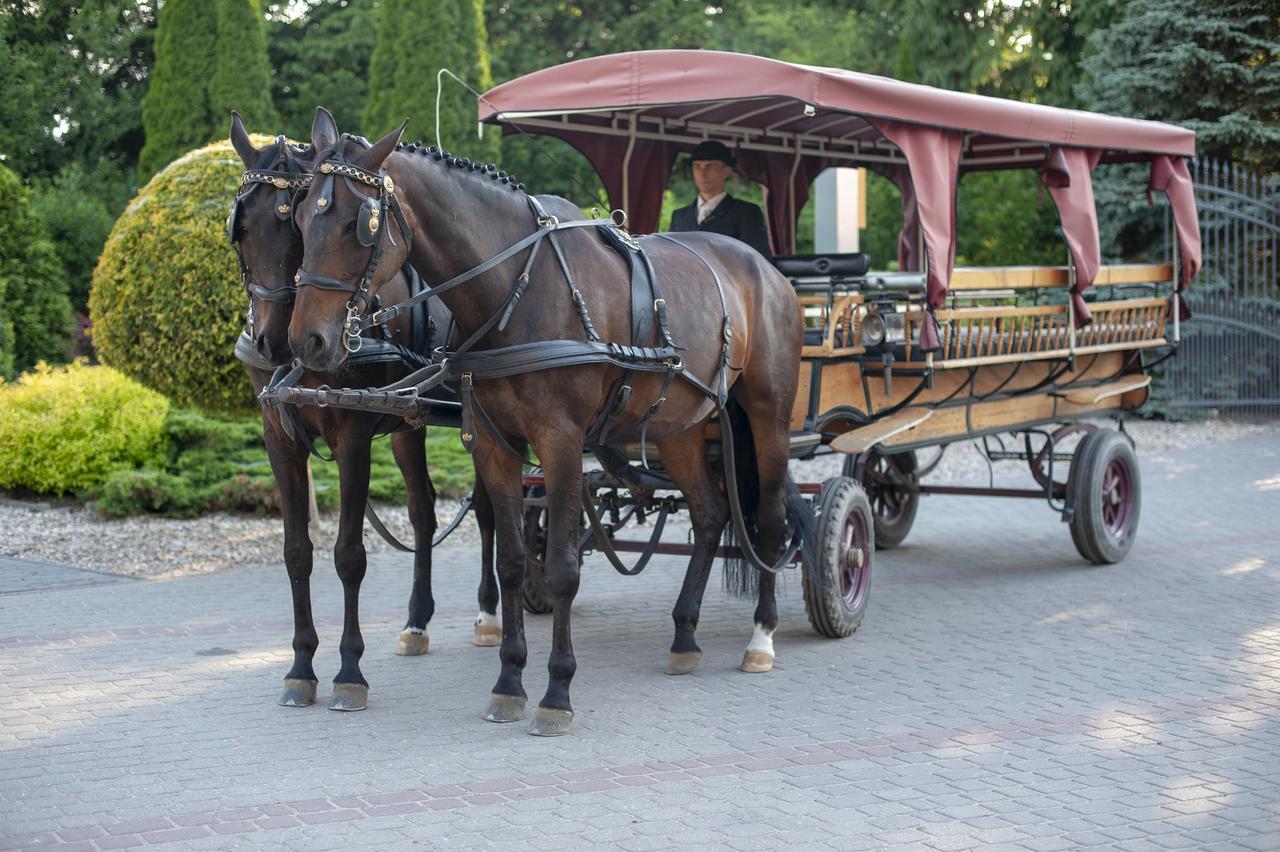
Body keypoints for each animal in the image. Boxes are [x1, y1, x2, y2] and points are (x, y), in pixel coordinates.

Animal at [227, 112, 496, 711]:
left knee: (491, 510)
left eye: (293, 228)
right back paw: (417, 622)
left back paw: (490, 613)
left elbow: (349, 555)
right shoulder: (277, 438)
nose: (278, 341)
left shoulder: (351, 434)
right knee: (423, 513)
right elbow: (297, 552)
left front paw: (349, 670)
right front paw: (301, 666)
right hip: (406, 426)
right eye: (241, 228)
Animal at [290, 106, 808, 731]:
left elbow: (562, 567)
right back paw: (684, 635)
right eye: (299, 217)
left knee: (771, 520)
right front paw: (510, 680)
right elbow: (513, 561)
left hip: (768, 415)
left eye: (358, 225)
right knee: (710, 515)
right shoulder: (496, 444)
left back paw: (761, 637)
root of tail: (765, 268)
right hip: (680, 427)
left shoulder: (560, 442)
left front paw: (556, 690)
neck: (516, 286)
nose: (307, 341)